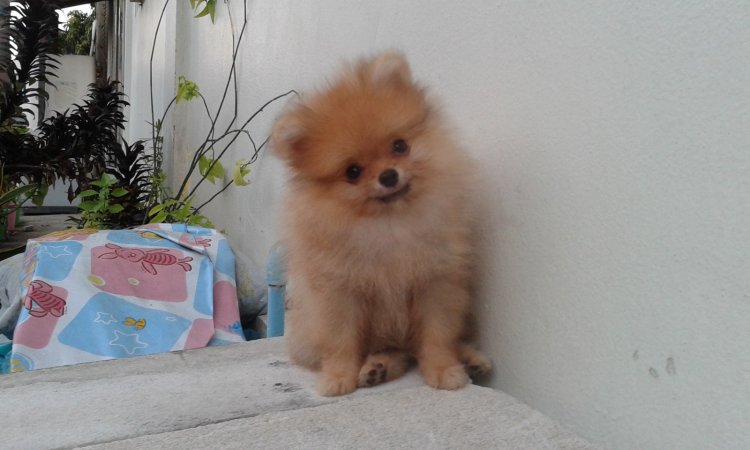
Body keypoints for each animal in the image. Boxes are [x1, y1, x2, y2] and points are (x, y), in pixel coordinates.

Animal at [272, 51, 491, 396]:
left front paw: (444, 370)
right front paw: (338, 377)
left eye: (399, 146)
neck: (388, 224)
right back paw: (377, 367)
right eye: (353, 172)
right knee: (394, 350)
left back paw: (470, 360)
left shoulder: (436, 283)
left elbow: (438, 335)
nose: (388, 176)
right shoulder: (339, 294)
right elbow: (340, 342)